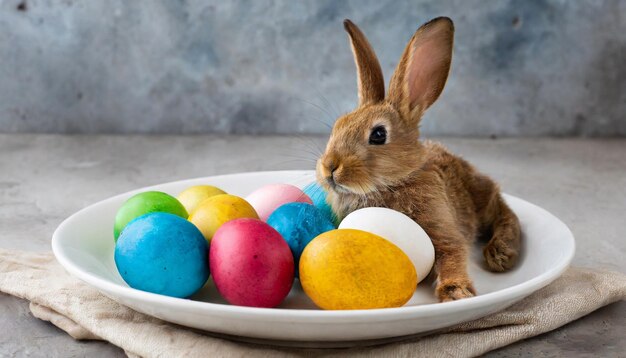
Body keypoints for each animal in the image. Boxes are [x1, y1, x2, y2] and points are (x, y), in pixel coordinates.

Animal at [314, 17, 520, 302]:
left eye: (378, 135)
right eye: (338, 125)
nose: (330, 167)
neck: (394, 182)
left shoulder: (443, 231)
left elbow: (453, 253)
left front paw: (456, 292)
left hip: (482, 199)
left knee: (505, 213)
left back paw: (500, 252)